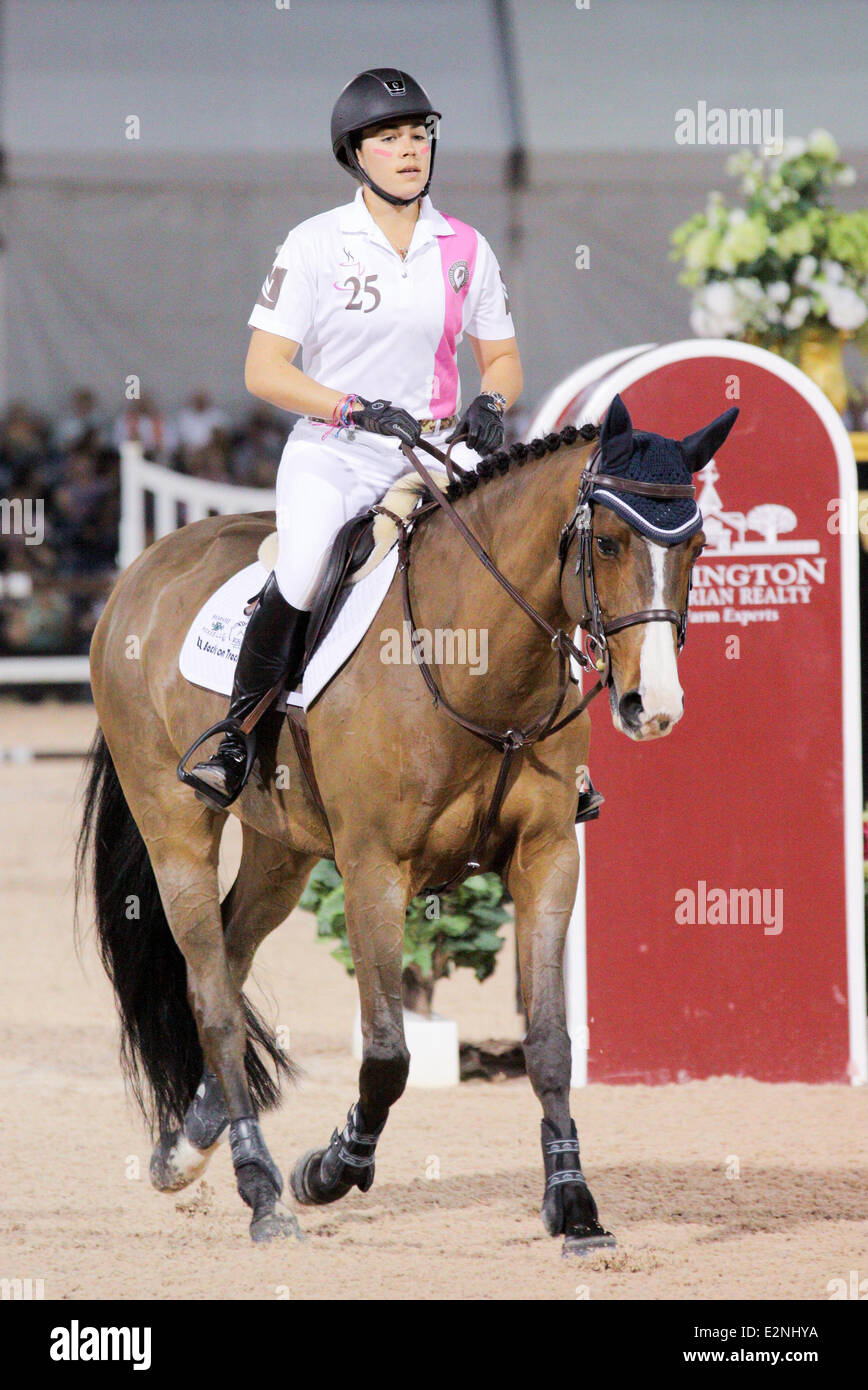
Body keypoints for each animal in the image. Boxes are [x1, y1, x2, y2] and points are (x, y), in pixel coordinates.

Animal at [76, 389, 740, 1251]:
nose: (651, 706)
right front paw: (330, 1169)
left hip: (282, 851)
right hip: (177, 826)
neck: (479, 660)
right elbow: (389, 1054)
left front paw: (574, 1204)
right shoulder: (374, 872)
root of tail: (144, 570)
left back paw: (188, 1146)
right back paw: (262, 1192)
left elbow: (550, 1041)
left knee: (227, 956)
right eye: (611, 542)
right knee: (214, 997)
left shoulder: (548, 856)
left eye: (696, 546)